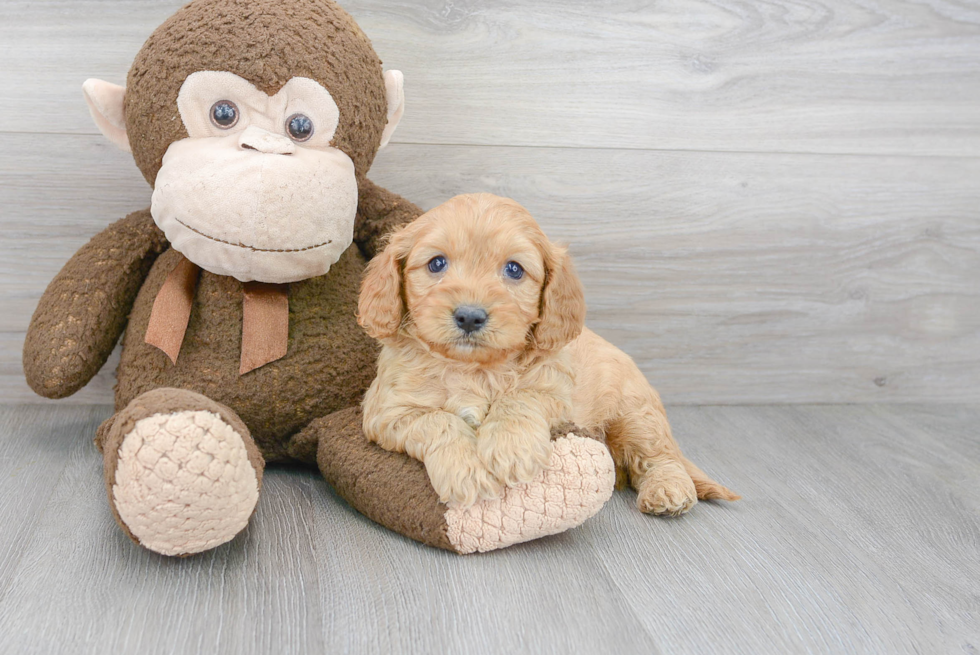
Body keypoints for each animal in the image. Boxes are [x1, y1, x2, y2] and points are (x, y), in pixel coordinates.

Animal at [358, 192, 736, 516]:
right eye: (436, 263)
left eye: (514, 269)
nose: (469, 316)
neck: (475, 368)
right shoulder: (387, 412)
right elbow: (439, 421)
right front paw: (466, 472)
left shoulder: (555, 392)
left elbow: (519, 398)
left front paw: (512, 449)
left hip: (636, 415)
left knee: (659, 456)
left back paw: (668, 490)